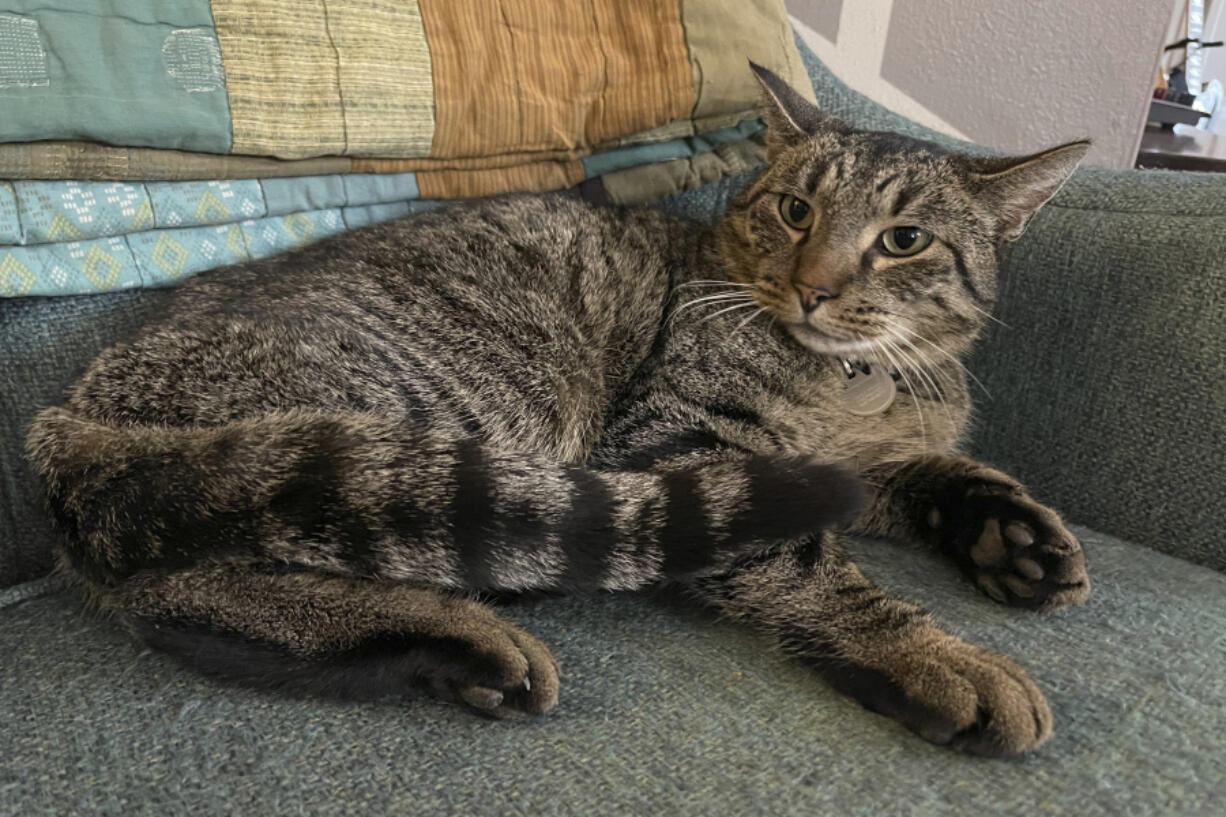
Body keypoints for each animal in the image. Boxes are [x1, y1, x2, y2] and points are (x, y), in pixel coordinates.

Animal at [23, 66, 1088, 755]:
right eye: (796, 211)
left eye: (904, 239)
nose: (815, 287)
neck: (856, 383)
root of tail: (68, 417)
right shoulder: (686, 444)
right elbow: (815, 570)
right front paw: (937, 655)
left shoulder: (864, 462)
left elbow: (948, 471)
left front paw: (1018, 539)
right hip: (431, 424)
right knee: (193, 579)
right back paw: (464, 635)